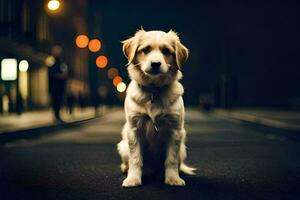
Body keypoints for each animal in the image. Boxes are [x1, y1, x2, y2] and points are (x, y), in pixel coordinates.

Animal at [117, 28, 195, 188]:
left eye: (166, 51)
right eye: (145, 50)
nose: (155, 64)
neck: (153, 90)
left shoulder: (175, 131)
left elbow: (171, 159)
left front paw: (173, 179)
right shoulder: (133, 130)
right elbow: (135, 159)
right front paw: (133, 179)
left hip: (182, 148)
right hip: (122, 146)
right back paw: (126, 169)